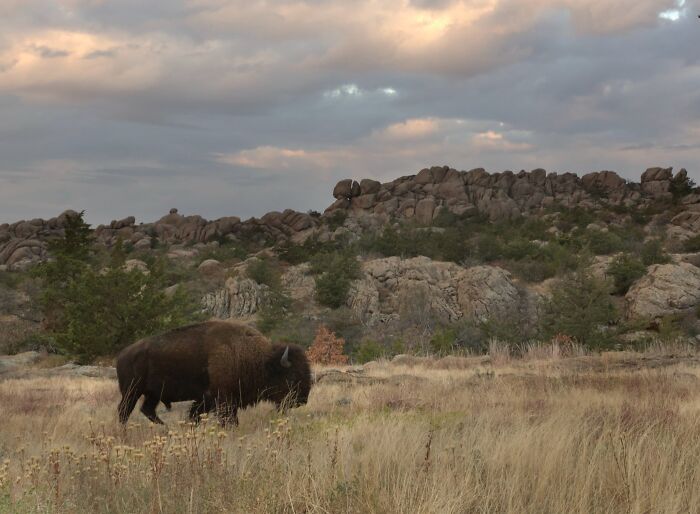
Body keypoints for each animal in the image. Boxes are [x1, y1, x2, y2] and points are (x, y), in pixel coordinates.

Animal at [116, 320, 311, 425]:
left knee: (147, 409)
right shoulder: (224, 400)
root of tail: (122, 355)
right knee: (124, 411)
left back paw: (166, 428)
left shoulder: (206, 399)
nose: (302, 400)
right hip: (132, 391)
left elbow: (195, 415)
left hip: (152, 394)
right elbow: (228, 420)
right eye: (292, 376)